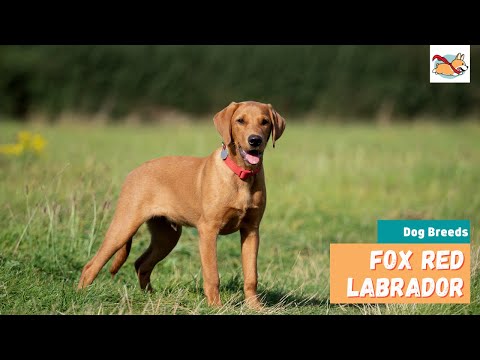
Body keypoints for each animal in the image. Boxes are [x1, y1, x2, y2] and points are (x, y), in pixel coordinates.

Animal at [78, 100, 284, 308]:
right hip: (124, 226)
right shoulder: (209, 230)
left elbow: (251, 275)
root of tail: (134, 172)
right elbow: (212, 275)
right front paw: (216, 307)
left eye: (265, 122)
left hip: (167, 236)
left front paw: (255, 307)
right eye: (240, 121)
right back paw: (82, 295)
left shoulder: (251, 230)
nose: (255, 140)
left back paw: (151, 297)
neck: (241, 175)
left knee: (141, 264)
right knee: (92, 265)